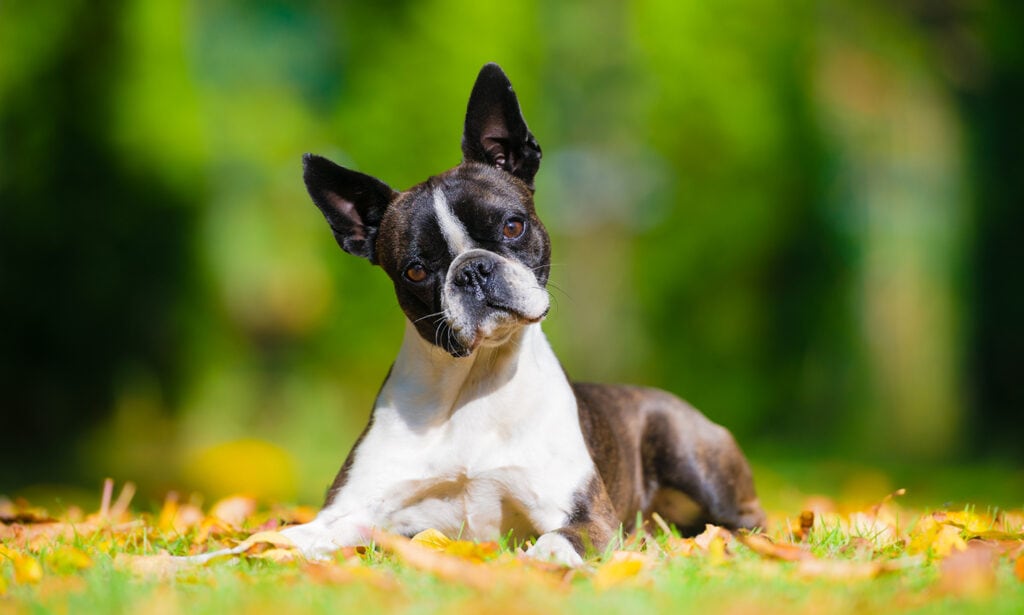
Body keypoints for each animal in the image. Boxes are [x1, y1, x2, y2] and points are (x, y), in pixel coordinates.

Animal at [268, 63, 765, 564]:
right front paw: (270, 548)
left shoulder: (588, 518)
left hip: (687, 451)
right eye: (415, 270)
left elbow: (550, 545)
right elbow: (293, 537)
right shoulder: (349, 510)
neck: (473, 381)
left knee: (744, 519)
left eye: (512, 226)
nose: (472, 269)